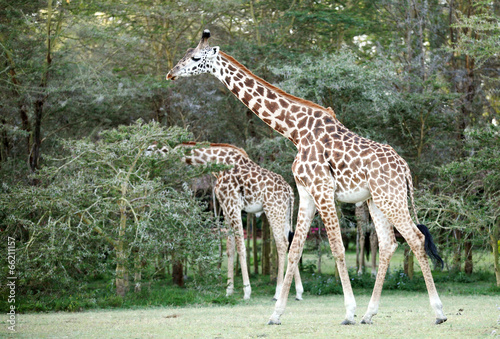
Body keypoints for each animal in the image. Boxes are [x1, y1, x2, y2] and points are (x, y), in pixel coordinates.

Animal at [147, 142, 304, 302]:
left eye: (152, 148)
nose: (146, 155)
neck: (218, 163)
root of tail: (290, 191)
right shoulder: (225, 208)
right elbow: (230, 248)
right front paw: (229, 291)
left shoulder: (233, 205)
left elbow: (241, 247)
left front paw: (246, 292)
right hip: (284, 213)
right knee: (291, 243)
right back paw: (298, 292)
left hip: (273, 210)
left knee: (281, 244)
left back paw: (277, 293)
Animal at [166, 29, 448, 326]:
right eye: (186, 54)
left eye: (195, 58)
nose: (171, 73)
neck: (295, 131)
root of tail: (405, 169)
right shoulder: (306, 192)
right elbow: (294, 249)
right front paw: (276, 314)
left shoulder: (322, 190)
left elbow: (336, 248)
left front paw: (348, 311)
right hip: (377, 201)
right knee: (388, 244)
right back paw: (369, 314)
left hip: (390, 197)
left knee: (415, 238)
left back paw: (438, 312)